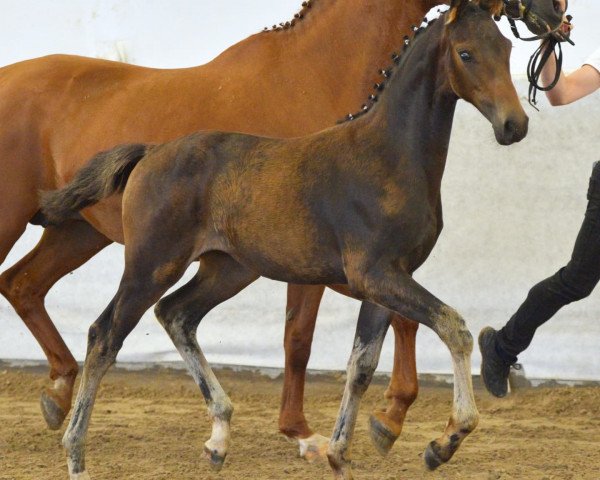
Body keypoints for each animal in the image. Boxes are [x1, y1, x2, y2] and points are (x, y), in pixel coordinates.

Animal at [0, 0, 564, 458]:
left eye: (505, 48)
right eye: (466, 54)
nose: (514, 125)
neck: (385, 154)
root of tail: (151, 151)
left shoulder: (378, 279)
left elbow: (366, 357)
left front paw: (360, 438)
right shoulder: (369, 273)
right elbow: (437, 326)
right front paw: (433, 435)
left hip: (197, 263)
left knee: (154, 310)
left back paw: (202, 431)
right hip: (144, 263)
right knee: (104, 332)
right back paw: (75, 445)